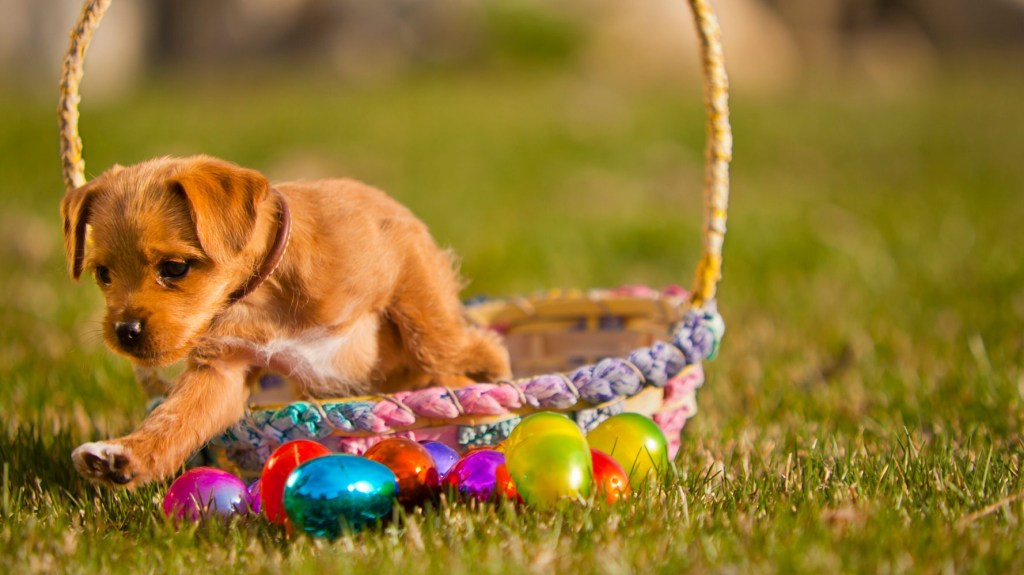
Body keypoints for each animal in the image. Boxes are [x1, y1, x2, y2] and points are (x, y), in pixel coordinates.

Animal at [61, 155, 509, 482]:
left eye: (174, 268)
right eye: (103, 275)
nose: (125, 332)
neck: (264, 295)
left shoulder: (402, 256)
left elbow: (436, 338)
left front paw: (482, 384)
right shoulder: (222, 369)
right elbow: (175, 418)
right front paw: (126, 454)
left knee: (448, 343)